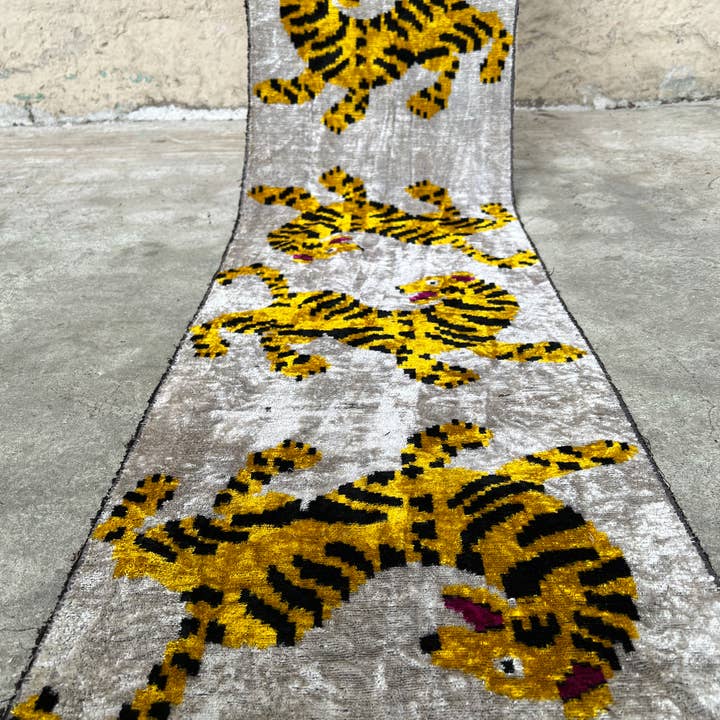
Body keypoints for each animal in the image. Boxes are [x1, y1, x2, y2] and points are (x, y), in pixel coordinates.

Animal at [12, 421, 639, 720]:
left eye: (502, 673)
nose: (429, 644)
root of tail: (206, 597)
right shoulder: (448, 475)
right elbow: (537, 455)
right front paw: (613, 448)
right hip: (217, 531)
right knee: (157, 520)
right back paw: (259, 464)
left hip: (207, 543)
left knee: (143, 530)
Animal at [189, 264, 585, 388]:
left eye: (432, 280)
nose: (400, 288)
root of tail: (296, 292)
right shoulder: (411, 350)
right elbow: (427, 367)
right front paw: (455, 376)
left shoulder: (487, 345)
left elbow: (527, 348)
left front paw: (566, 351)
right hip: (292, 319)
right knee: (226, 319)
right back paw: (209, 345)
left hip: (304, 329)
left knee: (267, 336)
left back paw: (299, 364)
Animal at [254, 0, 514, 133]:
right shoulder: (314, 74)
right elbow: (296, 88)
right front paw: (271, 89)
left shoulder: (360, 81)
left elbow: (354, 102)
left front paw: (338, 116)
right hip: (435, 47)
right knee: (457, 55)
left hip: (447, 38)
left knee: (495, 25)